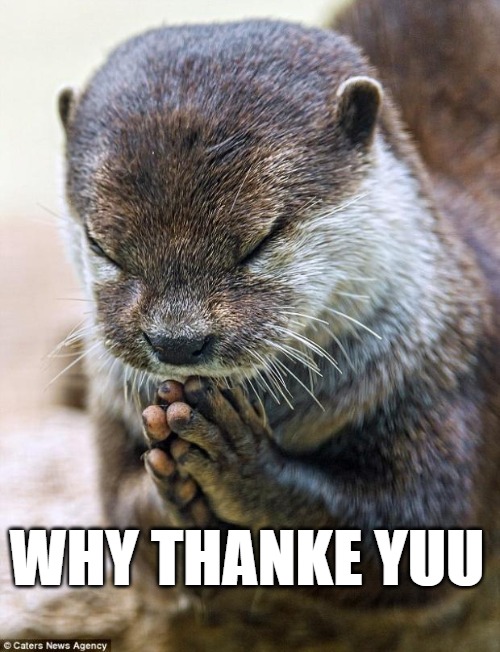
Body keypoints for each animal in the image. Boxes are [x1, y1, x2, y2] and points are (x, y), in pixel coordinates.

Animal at [58, 0, 500, 647]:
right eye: (102, 246)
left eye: (260, 241)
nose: (176, 341)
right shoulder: (112, 409)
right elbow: (122, 515)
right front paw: (174, 500)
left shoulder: (449, 372)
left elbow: (415, 532)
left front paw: (239, 462)